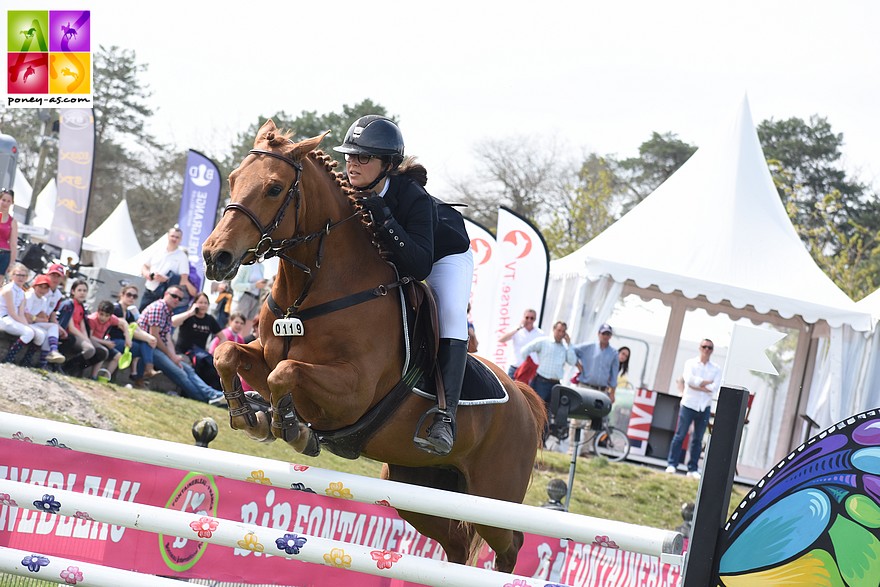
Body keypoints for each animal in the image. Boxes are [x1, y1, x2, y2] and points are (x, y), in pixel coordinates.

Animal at [203, 120, 548, 576]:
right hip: (415, 486)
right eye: (234, 179)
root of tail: (525, 398)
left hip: (491, 497)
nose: (215, 256)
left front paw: (291, 427)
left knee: (510, 547)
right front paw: (249, 415)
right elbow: (228, 355)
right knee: (457, 544)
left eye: (274, 188)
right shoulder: (264, 352)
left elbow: (286, 374)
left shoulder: (352, 392)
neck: (311, 291)